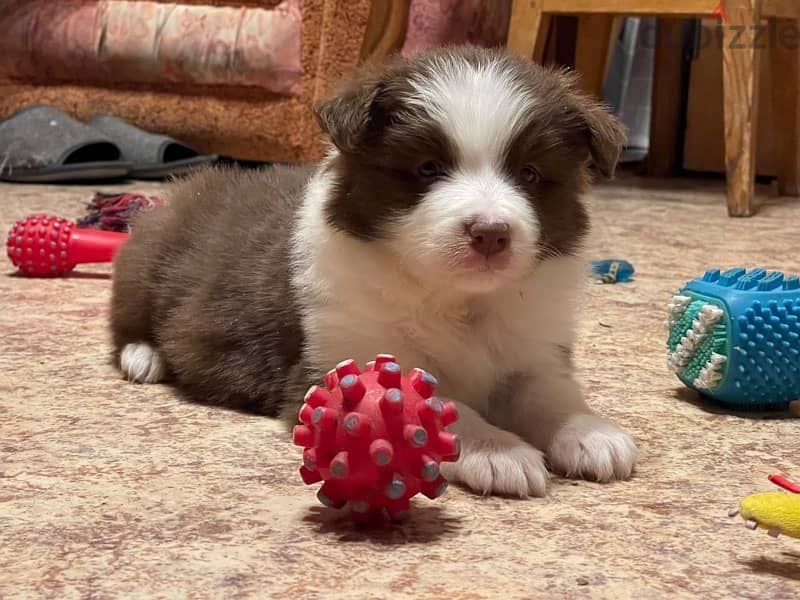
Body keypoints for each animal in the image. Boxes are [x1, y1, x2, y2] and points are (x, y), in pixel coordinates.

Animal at [111, 45, 636, 496]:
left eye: (529, 174)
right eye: (428, 168)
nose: (490, 233)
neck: (455, 298)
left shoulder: (533, 350)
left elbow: (549, 395)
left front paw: (590, 433)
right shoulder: (339, 357)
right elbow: (440, 405)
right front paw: (499, 451)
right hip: (145, 260)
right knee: (127, 322)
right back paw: (144, 357)